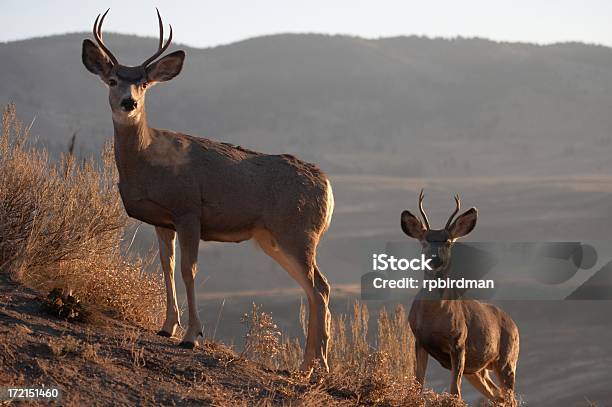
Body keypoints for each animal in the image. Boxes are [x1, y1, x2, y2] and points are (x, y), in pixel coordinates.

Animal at [80, 10, 334, 372]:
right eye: (113, 80)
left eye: (143, 83)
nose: (129, 102)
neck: (146, 161)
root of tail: (326, 185)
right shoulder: (162, 220)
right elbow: (166, 266)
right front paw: (167, 326)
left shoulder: (188, 210)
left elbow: (189, 270)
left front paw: (191, 336)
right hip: (273, 238)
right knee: (315, 287)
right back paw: (309, 363)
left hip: (297, 231)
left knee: (319, 287)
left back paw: (317, 366)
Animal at [402, 193, 520, 406]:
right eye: (423, 242)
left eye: (448, 242)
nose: (435, 260)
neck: (434, 317)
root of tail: (514, 325)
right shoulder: (419, 340)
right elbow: (418, 383)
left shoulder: (458, 341)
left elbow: (455, 392)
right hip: (477, 371)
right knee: (497, 395)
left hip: (507, 360)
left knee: (509, 397)